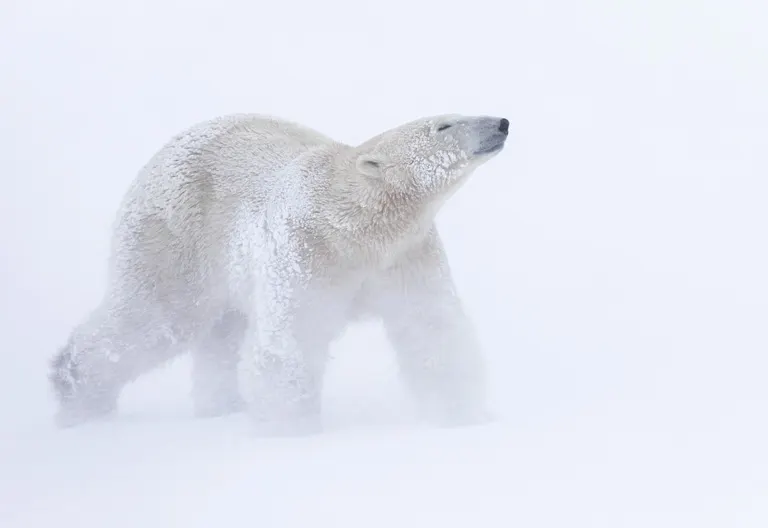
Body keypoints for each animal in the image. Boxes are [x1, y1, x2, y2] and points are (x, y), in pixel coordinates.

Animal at [49, 112, 509, 435]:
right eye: (442, 124)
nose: (501, 123)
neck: (359, 229)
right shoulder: (306, 247)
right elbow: (291, 337)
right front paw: (293, 431)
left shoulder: (406, 255)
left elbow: (431, 326)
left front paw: (463, 416)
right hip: (177, 238)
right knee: (156, 317)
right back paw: (76, 389)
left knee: (221, 334)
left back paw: (223, 406)